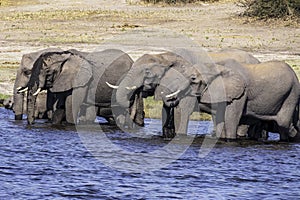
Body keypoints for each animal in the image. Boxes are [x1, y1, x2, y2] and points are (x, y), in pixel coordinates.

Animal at [158, 56, 300, 142]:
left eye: (193, 79)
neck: (217, 66)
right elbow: (220, 119)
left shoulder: (240, 93)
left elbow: (231, 119)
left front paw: (230, 140)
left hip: (292, 94)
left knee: (283, 124)